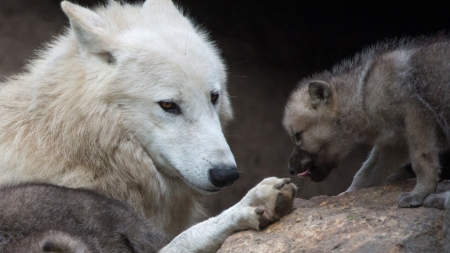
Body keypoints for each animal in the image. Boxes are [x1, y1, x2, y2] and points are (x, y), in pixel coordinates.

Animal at [284, 36, 450, 210]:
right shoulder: (395, 142)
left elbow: (421, 160)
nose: (290, 170)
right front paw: (347, 194)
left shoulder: (416, 116)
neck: (362, 96)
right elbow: (367, 172)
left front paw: (418, 194)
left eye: (297, 135)